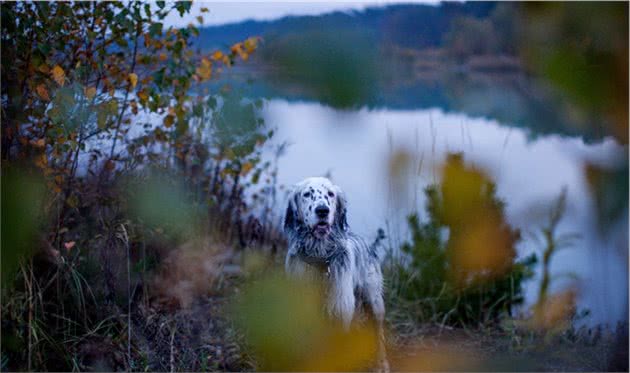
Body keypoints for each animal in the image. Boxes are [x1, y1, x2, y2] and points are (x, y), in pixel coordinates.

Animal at [286, 176, 390, 370]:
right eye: (307, 194)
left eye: (330, 194)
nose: (322, 210)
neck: (319, 259)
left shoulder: (340, 313)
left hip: (374, 303)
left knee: (379, 335)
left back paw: (382, 365)